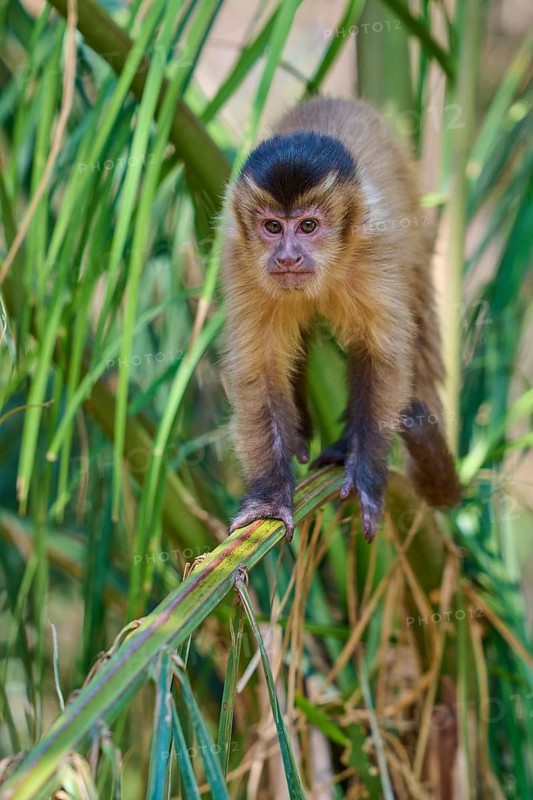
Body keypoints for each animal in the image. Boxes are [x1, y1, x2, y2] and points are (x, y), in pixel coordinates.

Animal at [220, 97, 462, 543]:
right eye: (273, 226)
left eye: (308, 226)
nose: (288, 257)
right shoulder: (238, 257)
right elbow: (259, 371)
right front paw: (270, 496)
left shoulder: (376, 247)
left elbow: (382, 360)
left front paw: (365, 475)